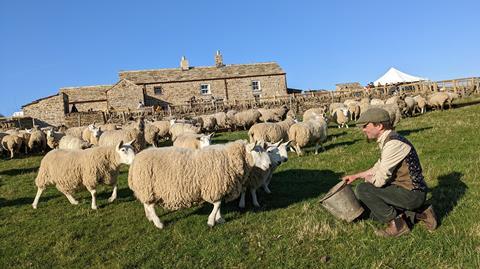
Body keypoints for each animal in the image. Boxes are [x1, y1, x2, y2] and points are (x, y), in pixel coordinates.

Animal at [126, 140, 270, 228]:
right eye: (257, 151)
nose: (269, 164)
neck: (229, 158)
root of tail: (135, 160)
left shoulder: (218, 187)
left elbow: (219, 204)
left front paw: (219, 219)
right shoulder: (214, 185)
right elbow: (217, 204)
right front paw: (211, 221)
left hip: (146, 188)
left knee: (146, 203)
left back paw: (150, 218)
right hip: (147, 186)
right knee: (150, 205)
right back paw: (158, 223)